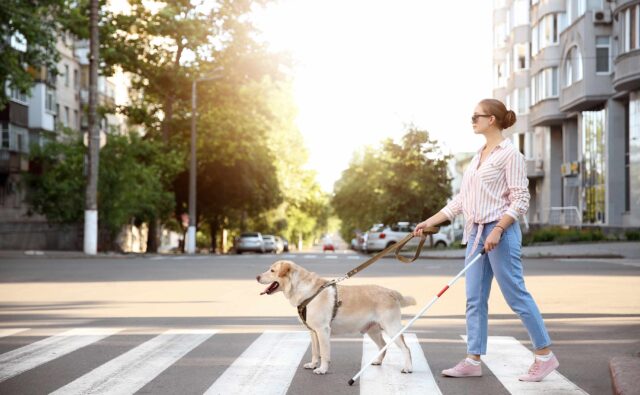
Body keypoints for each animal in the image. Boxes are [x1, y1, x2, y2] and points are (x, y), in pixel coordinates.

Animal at [255, 262, 416, 376]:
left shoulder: (323, 330)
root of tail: (391, 292)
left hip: (392, 328)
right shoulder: (313, 332)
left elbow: (324, 353)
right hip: (373, 330)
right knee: (383, 345)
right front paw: (313, 364)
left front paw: (322, 369)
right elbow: (315, 352)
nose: (257, 277)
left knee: (406, 349)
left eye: (272, 270)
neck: (303, 290)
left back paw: (408, 368)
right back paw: (377, 361)